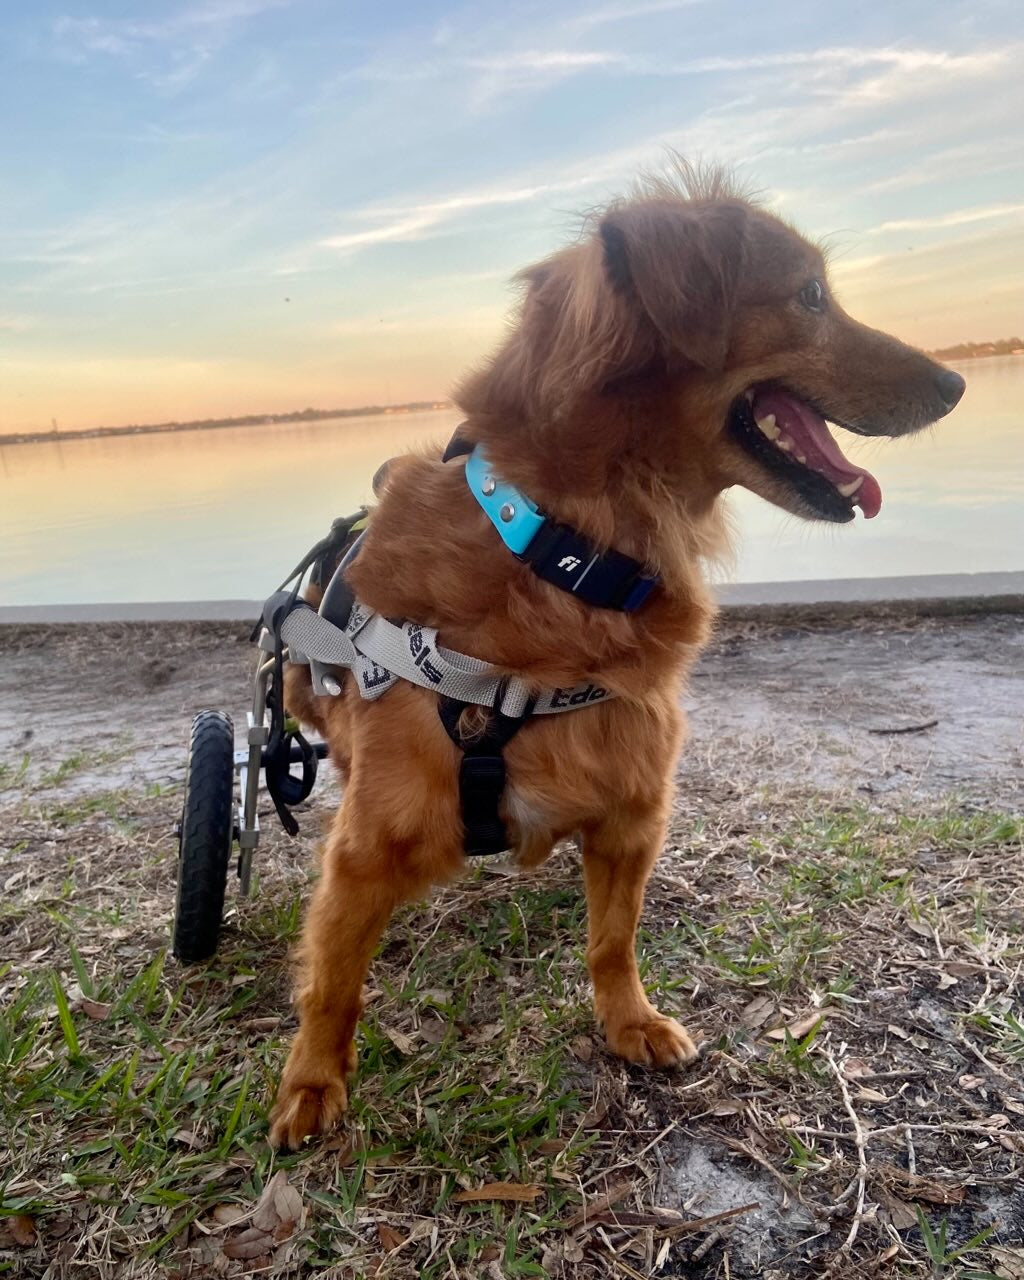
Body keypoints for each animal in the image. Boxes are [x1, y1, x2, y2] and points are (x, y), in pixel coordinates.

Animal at [267, 160, 962, 1152]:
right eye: (811, 296)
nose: (956, 381)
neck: (566, 556)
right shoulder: (363, 854)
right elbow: (329, 982)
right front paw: (312, 1083)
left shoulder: (635, 813)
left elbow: (612, 940)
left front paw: (628, 1022)